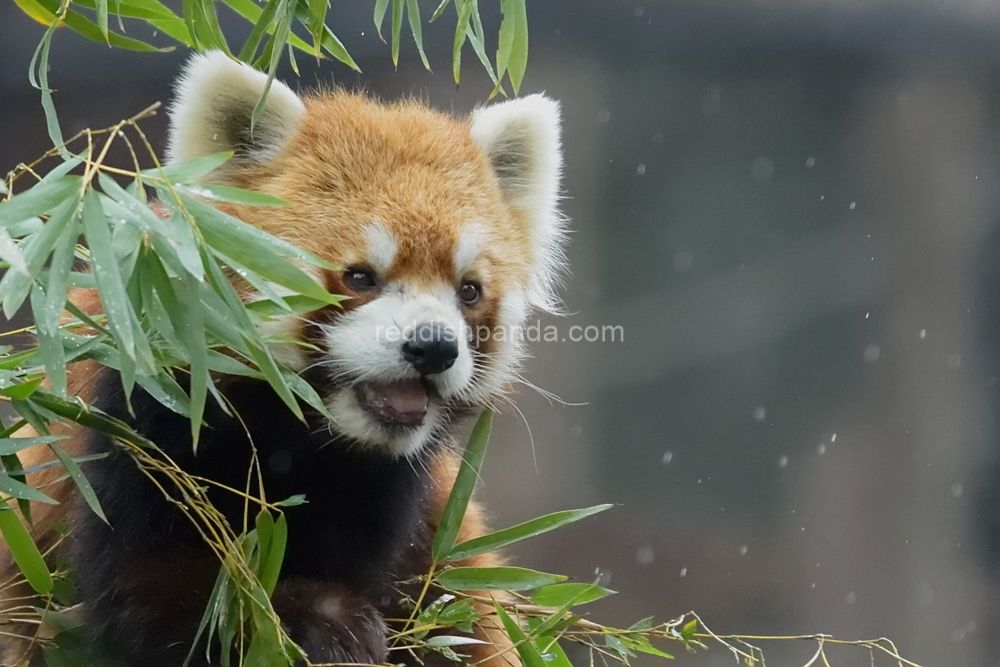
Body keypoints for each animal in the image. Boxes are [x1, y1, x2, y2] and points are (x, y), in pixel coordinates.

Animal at [0, 51, 568, 667]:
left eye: (468, 290)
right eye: (360, 277)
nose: (433, 346)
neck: (305, 443)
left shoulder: (402, 506)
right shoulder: (139, 430)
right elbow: (168, 600)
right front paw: (319, 620)